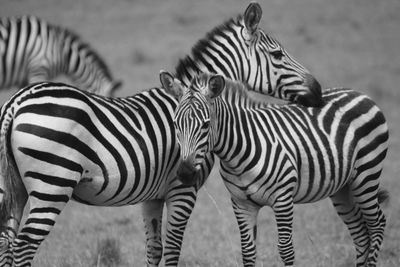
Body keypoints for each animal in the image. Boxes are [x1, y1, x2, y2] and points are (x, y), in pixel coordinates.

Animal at [0, 2, 322, 267]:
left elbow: (154, 250)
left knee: (6, 243)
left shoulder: (152, 196)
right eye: (277, 54)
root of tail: (16, 102)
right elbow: (173, 250)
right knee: (24, 247)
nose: (318, 91)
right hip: (52, 184)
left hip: (13, 187)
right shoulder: (182, 190)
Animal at [161, 71, 390, 267]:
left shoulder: (283, 199)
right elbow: (248, 252)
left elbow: (286, 250)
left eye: (205, 125)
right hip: (343, 188)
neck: (238, 153)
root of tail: (359, 93)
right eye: (175, 124)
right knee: (360, 233)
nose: (185, 174)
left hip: (366, 175)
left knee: (377, 223)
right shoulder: (242, 204)